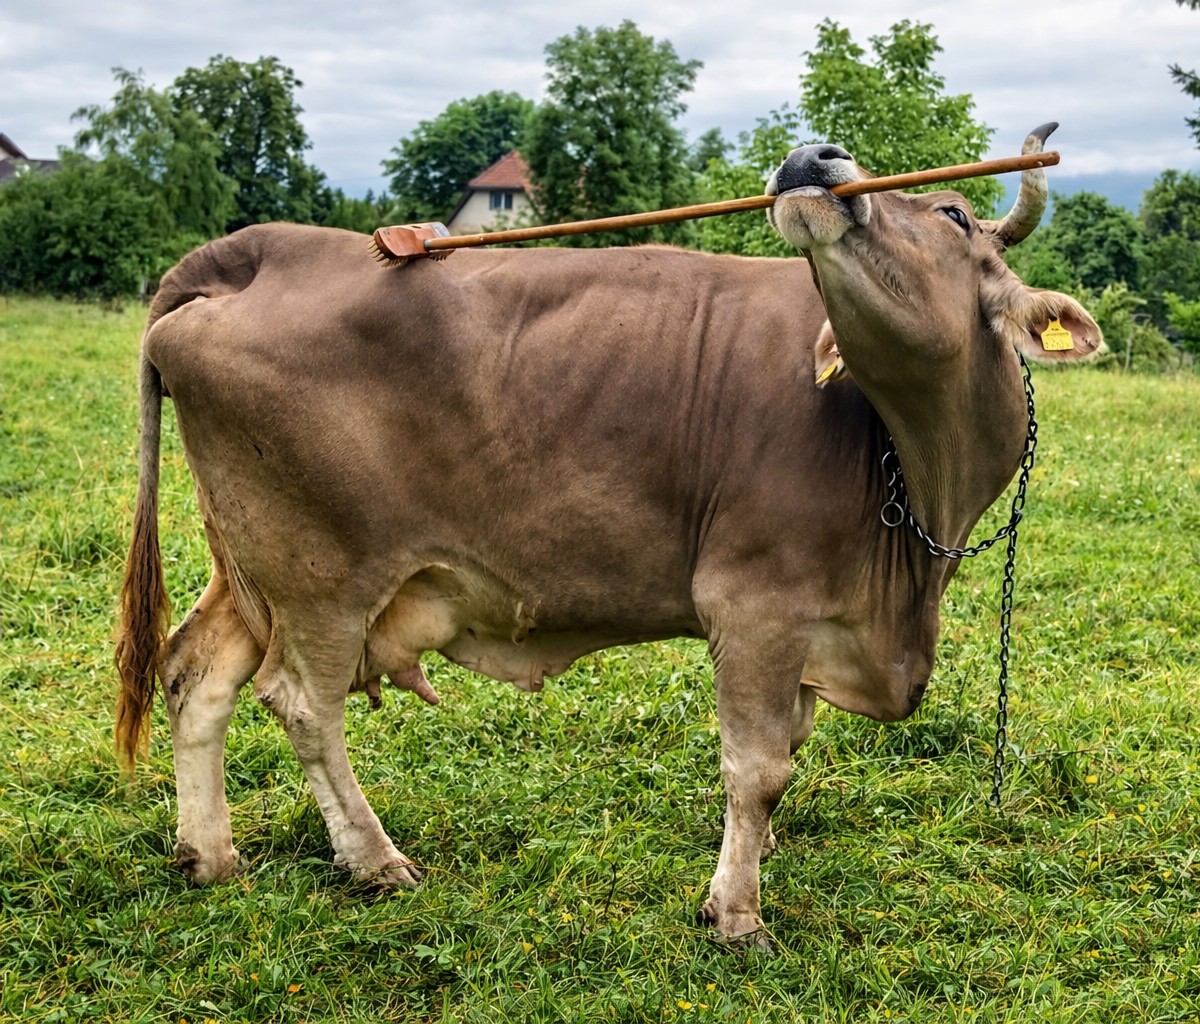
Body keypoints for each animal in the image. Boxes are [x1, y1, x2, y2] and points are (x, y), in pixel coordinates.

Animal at [115, 125, 1100, 947]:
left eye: (953, 211)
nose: (812, 155)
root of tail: (267, 248)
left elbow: (788, 746)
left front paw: (759, 857)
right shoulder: (757, 604)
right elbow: (757, 767)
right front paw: (735, 911)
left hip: (248, 564)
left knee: (197, 672)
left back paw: (209, 854)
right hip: (321, 574)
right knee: (302, 704)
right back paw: (373, 858)